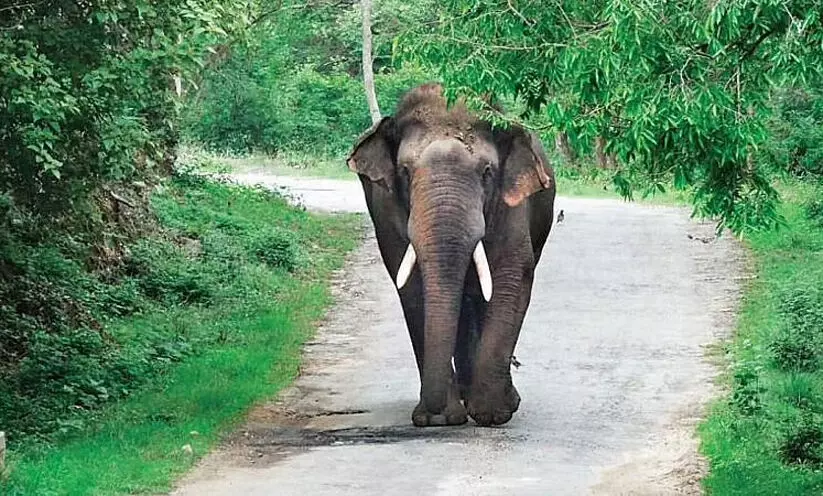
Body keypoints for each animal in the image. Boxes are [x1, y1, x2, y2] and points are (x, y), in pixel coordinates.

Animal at [344, 82, 556, 426]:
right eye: (405, 172)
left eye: (487, 172)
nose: (433, 412)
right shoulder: (386, 209)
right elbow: (412, 286)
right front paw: (439, 419)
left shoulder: (512, 205)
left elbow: (509, 277)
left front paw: (493, 414)